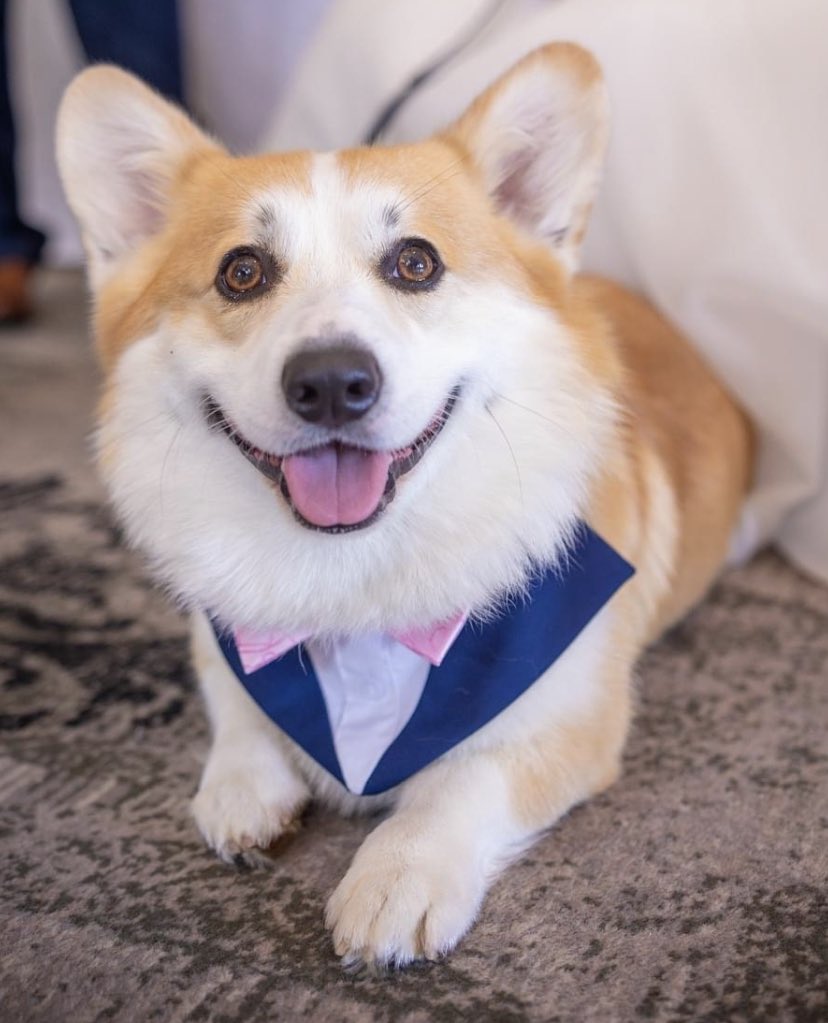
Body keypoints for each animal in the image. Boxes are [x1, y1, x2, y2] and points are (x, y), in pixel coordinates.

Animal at [58, 41, 753, 965]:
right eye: (242, 272)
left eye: (415, 262)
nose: (330, 382)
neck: (353, 578)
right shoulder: (221, 632)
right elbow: (239, 707)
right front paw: (240, 791)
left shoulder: (569, 717)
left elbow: (463, 777)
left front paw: (398, 875)